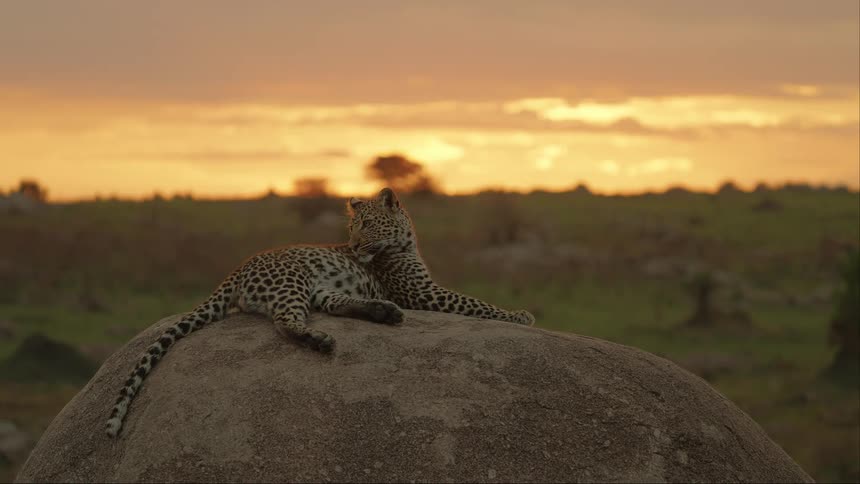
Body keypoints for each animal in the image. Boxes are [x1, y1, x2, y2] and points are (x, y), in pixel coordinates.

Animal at [105, 187, 535, 437]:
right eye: (352, 229)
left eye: (366, 224)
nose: (355, 246)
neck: (406, 241)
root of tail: (236, 271)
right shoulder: (423, 293)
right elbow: (474, 303)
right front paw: (520, 316)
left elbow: (473, 301)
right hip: (292, 282)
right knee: (285, 323)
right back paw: (321, 339)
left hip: (320, 288)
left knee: (334, 306)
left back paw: (383, 313)